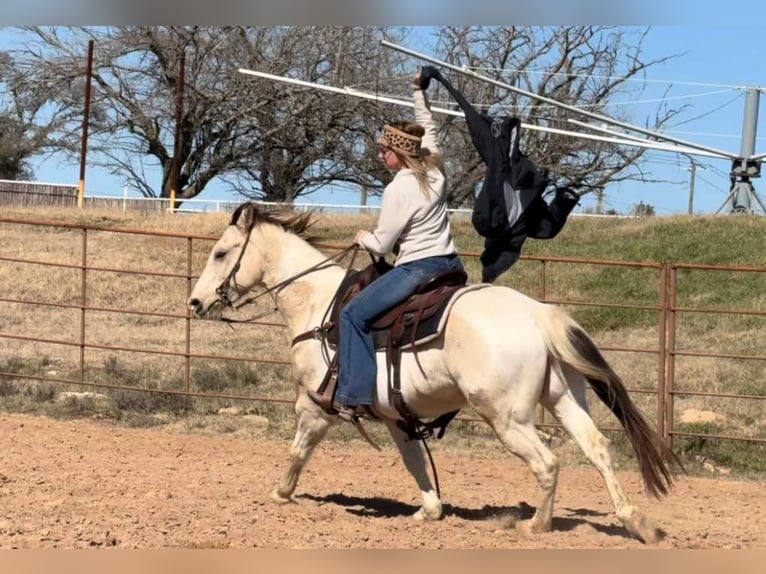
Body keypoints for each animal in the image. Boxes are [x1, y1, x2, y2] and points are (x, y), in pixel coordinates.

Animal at [187, 202, 679, 543]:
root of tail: (537, 314)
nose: (195, 302)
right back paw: (637, 522)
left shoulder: (315, 404)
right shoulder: (395, 416)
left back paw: (536, 525)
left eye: (221, 253)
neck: (317, 304)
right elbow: (416, 462)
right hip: (563, 399)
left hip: (508, 418)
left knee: (548, 462)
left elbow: (297, 450)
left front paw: (280, 493)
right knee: (598, 449)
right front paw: (429, 510)